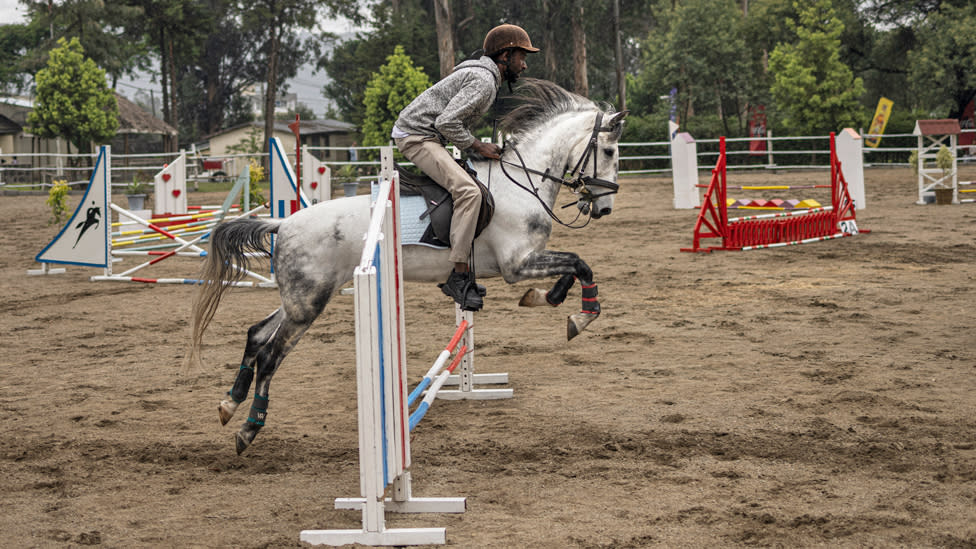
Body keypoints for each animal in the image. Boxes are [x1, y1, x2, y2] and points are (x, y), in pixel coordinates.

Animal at [187, 78, 628, 454]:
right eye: (608, 152)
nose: (604, 208)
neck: (523, 182)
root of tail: (284, 223)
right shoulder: (517, 264)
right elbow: (581, 265)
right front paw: (579, 317)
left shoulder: (525, 262)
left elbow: (573, 268)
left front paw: (547, 299)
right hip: (309, 303)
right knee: (270, 354)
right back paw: (249, 427)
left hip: (299, 297)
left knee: (257, 334)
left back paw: (229, 404)